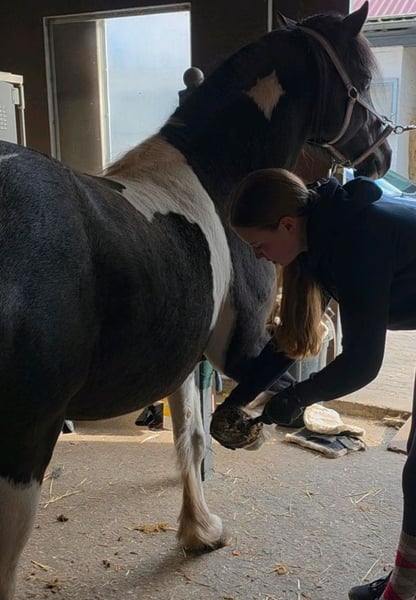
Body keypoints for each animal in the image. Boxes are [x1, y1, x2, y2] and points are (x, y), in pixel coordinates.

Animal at [0, 2, 392, 598]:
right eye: (364, 80)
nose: (385, 153)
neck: (214, 176)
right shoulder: (240, 350)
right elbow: (245, 403)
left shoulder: (186, 357)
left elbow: (188, 434)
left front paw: (198, 529)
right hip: (22, 448)